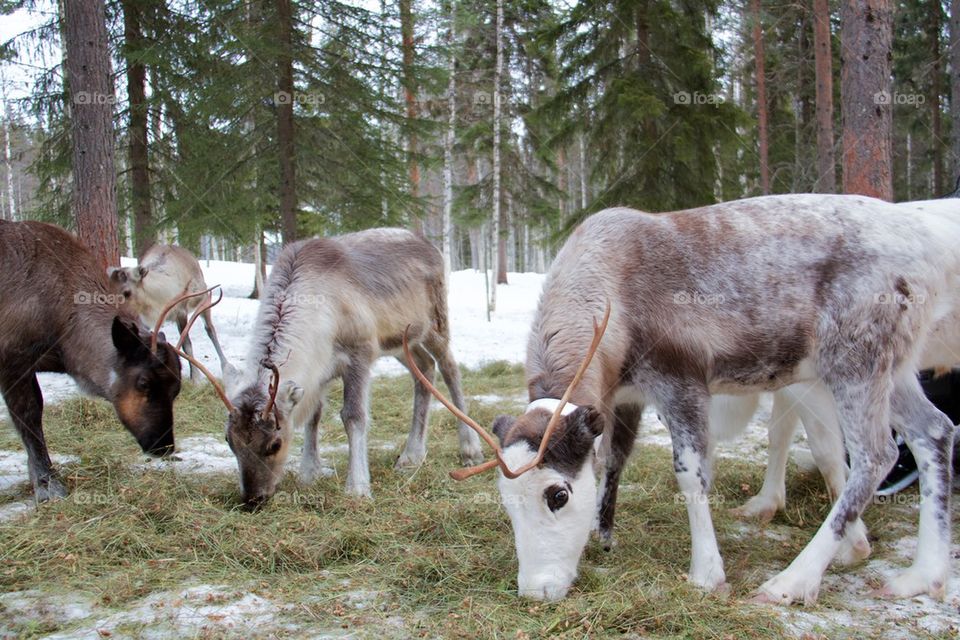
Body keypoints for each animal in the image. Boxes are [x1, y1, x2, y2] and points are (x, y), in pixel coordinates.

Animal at [0, 220, 205, 502]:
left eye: (176, 389)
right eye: (143, 383)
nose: (164, 446)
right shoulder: (13, 359)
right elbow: (30, 416)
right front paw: (47, 484)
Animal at [108, 244, 230, 382]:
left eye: (126, 292)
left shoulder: (181, 312)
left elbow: (187, 345)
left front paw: (195, 378)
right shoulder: (145, 321)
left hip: (204, 300)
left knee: (210, 330)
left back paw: (226, 367)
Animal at [193, 228, 484, 508]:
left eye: (275, 443)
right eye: (229, 441)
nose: (253, 499)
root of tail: (429, 245)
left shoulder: (360, 352)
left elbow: (354, 416)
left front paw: (357, 488)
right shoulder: (318, 371)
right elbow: (314, 415)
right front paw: (309, 472)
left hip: (434, 324)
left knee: (449, 368)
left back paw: (470, 449)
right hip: (402, 342)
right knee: (425, 368)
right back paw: (411, 455)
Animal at [410, 194, 957, 606]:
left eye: (557, 495)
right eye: (505, 500)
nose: (535, 591)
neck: (615, 296)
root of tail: (934, 255)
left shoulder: (682, 380)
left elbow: (691, 473)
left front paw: (706, 574)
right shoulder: (622, 396)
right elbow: (613, 461)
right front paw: (602, 535)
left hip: (854, 358)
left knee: (876, 454)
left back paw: (792, 581)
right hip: (896, 368)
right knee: (934, 430)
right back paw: (921, 575)